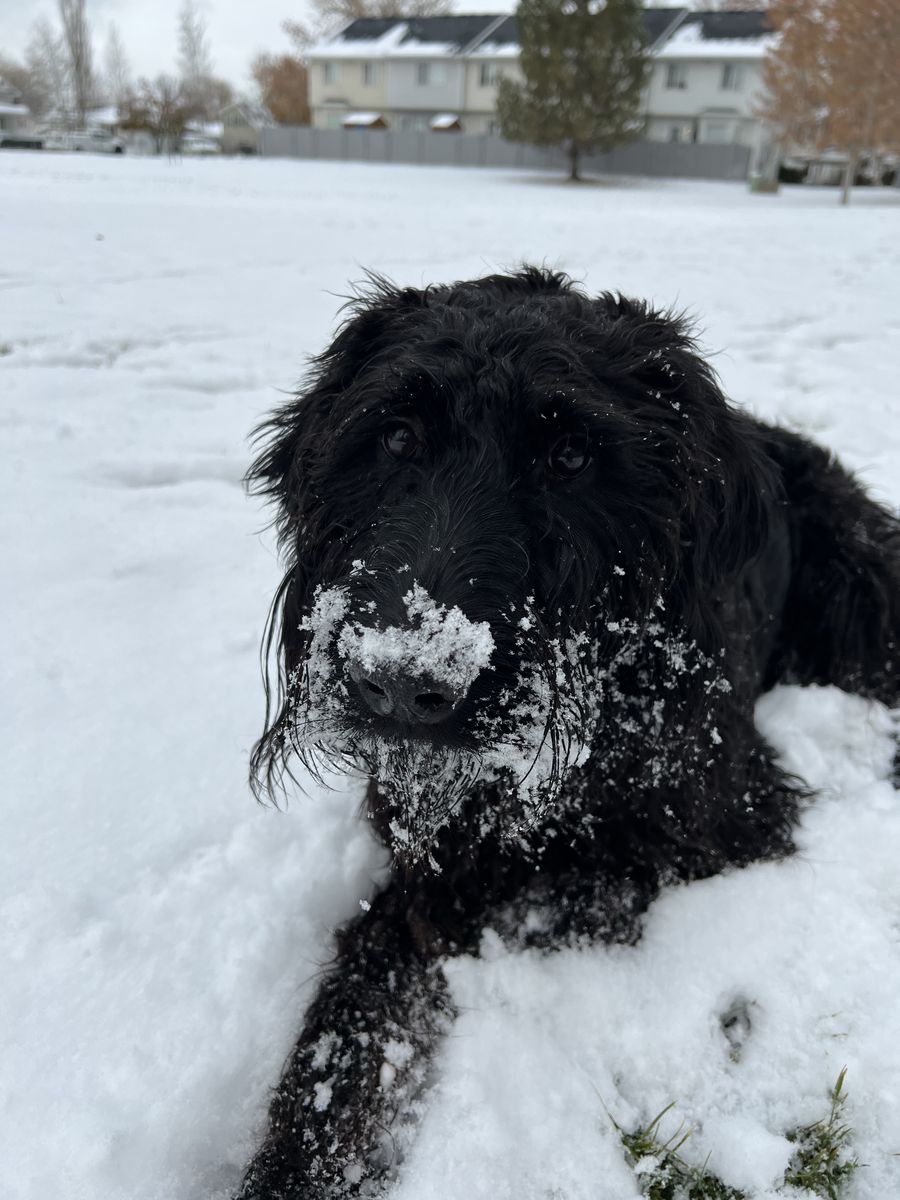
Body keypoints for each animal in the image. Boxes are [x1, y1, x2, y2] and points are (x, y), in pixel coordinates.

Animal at [235, 268, 899, 1198]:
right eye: (395, 437)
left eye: (573, 458)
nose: (400, 682)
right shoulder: (425, 873)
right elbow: (353, 1023)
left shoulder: (729, 824)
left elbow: (576, 894)